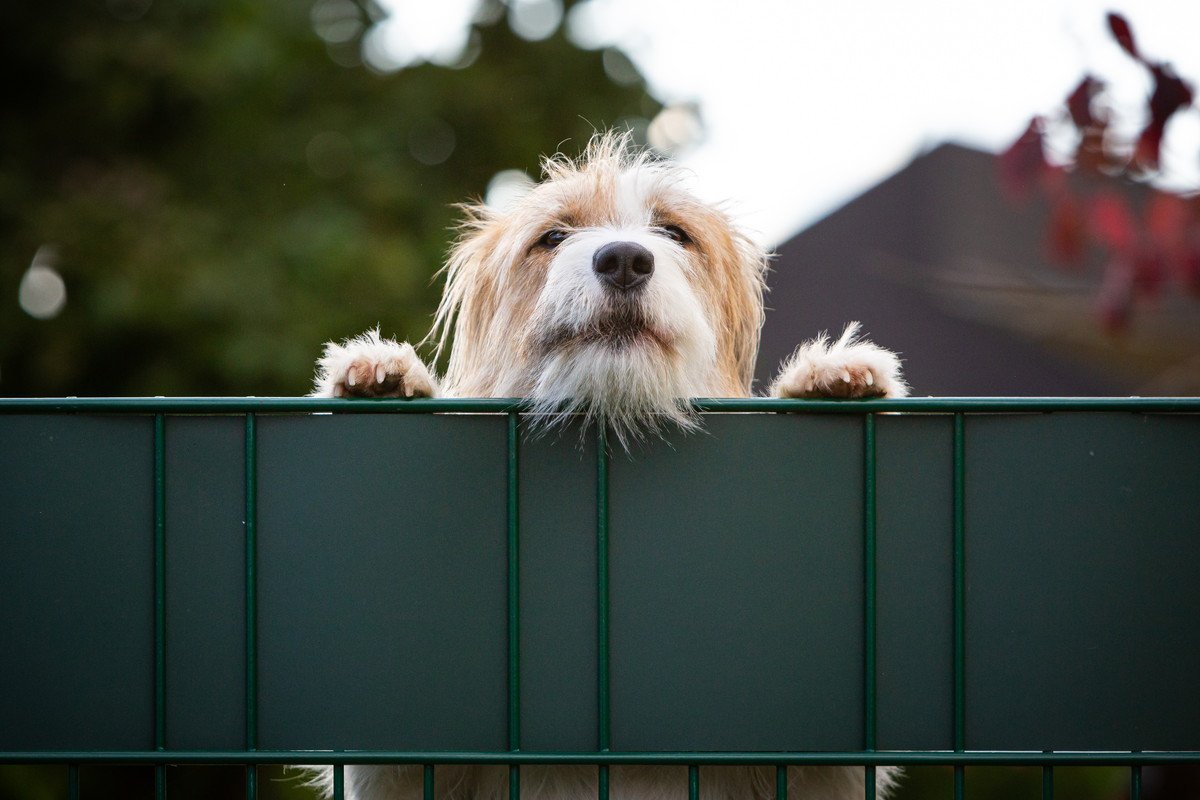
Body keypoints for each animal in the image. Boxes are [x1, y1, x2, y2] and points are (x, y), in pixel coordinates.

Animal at [304, 133, 902, 800]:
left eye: (674, 232)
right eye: (553, 236)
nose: (623, 259)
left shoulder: (814, 768)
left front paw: (828, 377)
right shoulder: (404, 769)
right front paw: (381, 375)